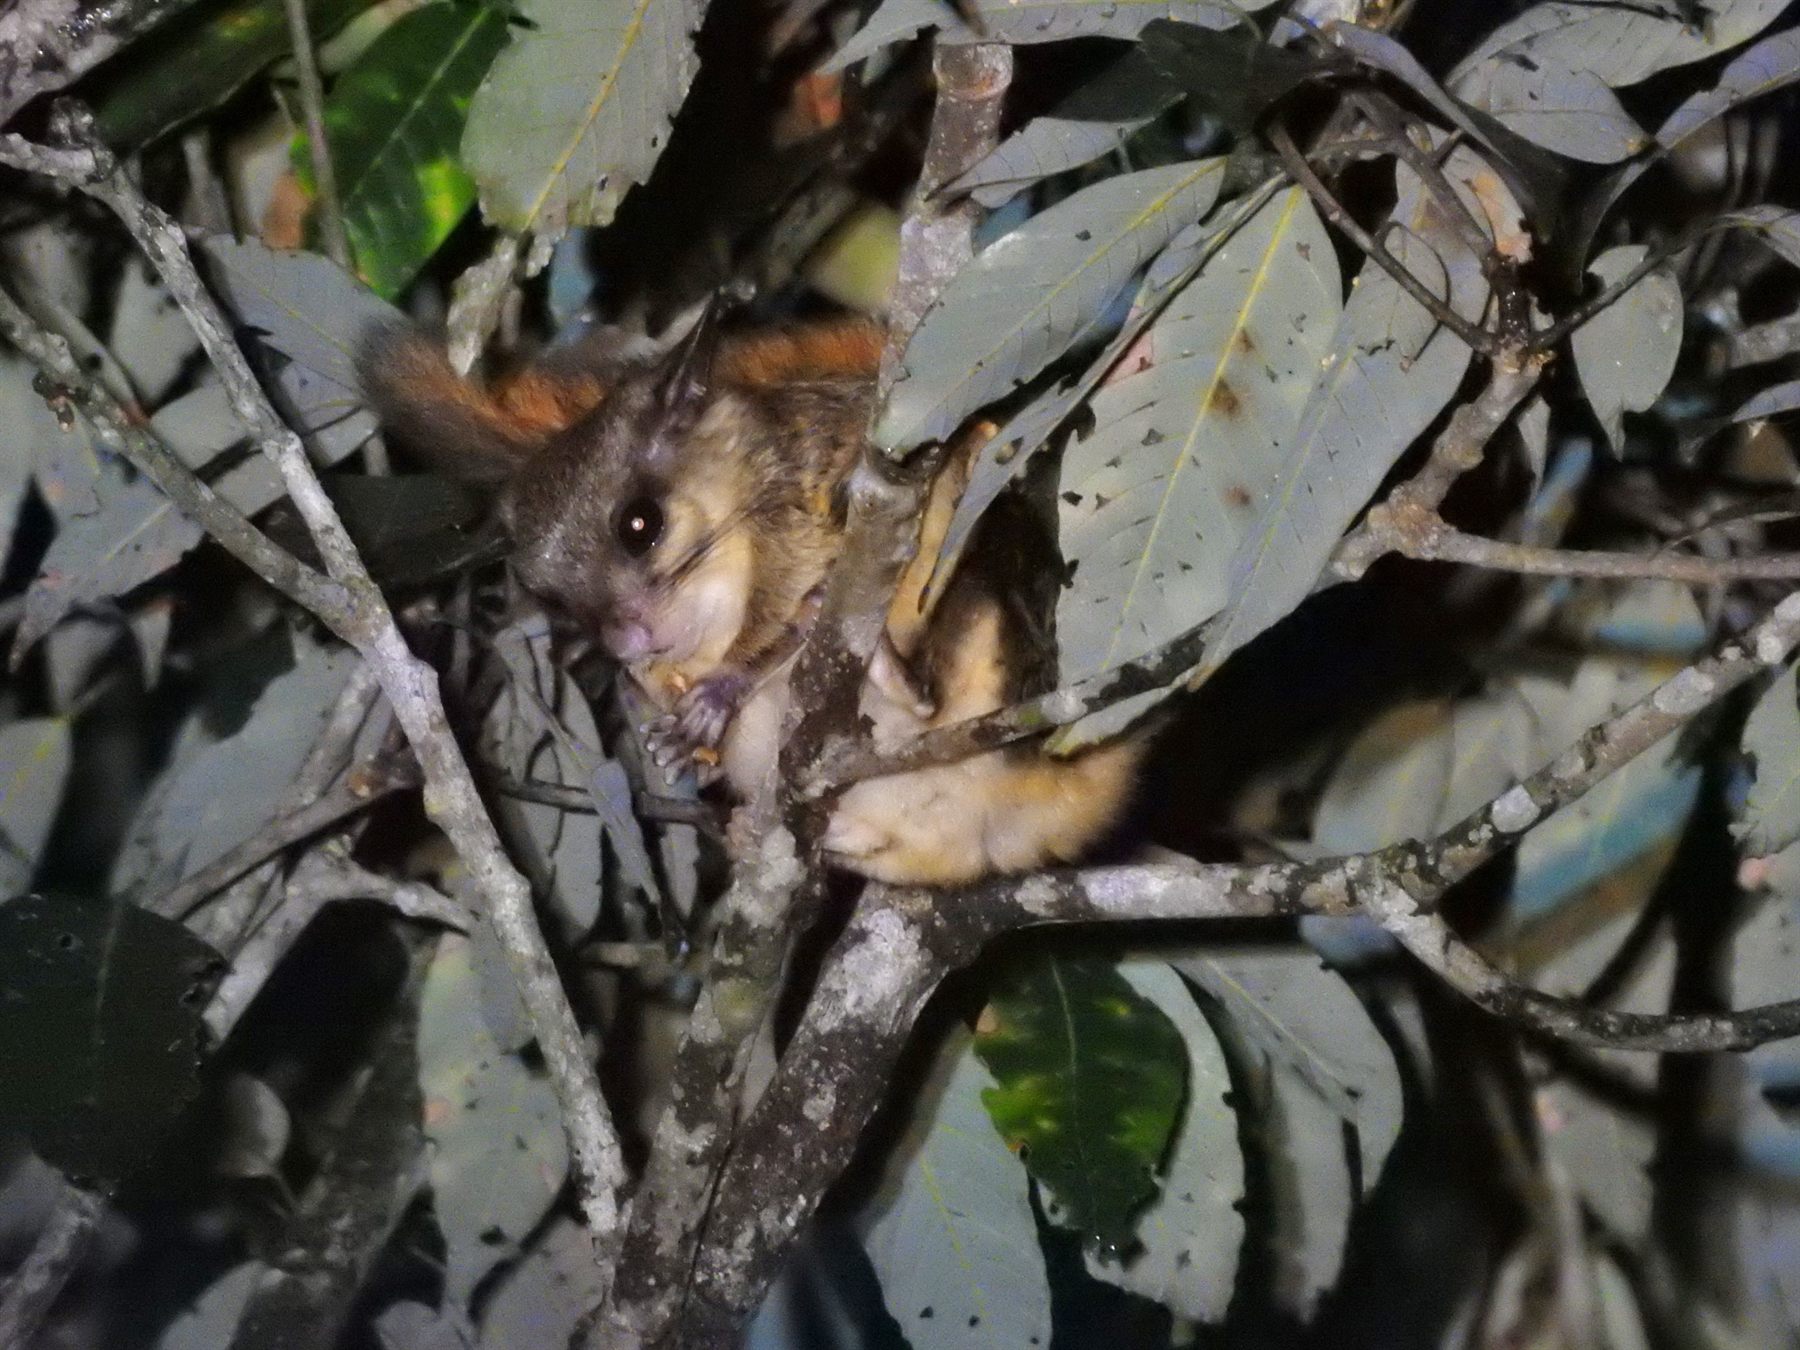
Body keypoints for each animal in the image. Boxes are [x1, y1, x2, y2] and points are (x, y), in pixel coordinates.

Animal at [359, 309, 1141, 885]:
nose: (626, 643)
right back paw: (757, 828)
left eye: (639, 525)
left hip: (991, 591)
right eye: (552, 599)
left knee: (931, 679)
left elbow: (790, 622)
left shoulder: (822, 498)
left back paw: (892, 674)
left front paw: (719, 696)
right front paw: (668, 726)